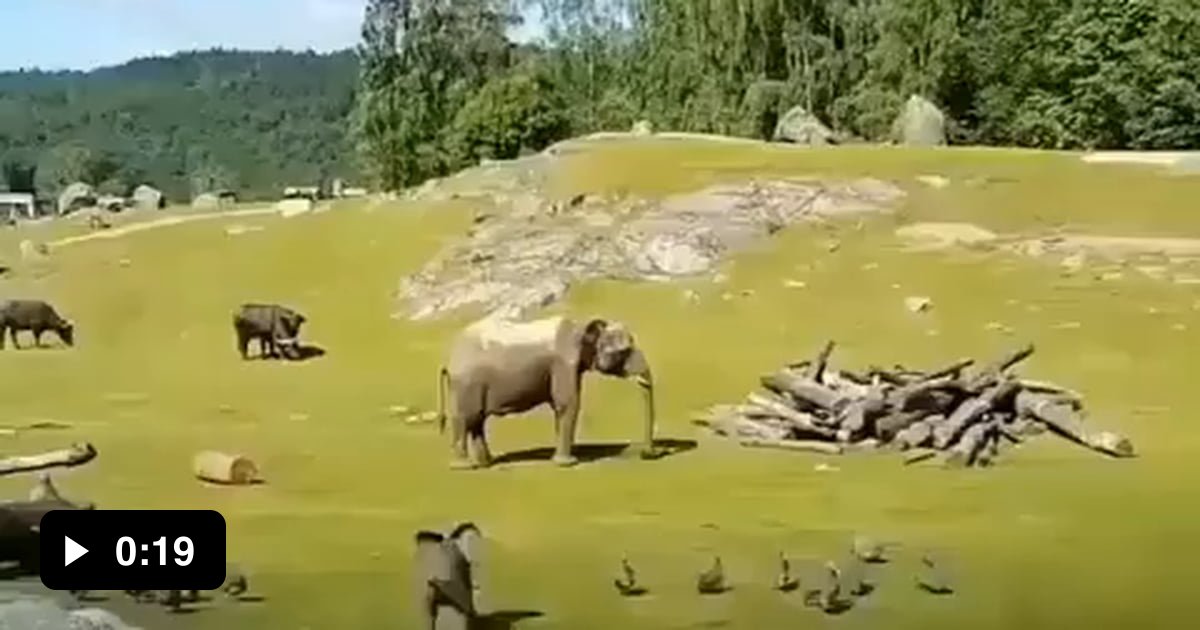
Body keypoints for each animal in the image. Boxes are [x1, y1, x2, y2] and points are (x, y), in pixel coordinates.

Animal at [437, 315, 657, 469]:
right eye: (624, 351)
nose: (648, 454)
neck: (581, 326)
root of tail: (450, 359)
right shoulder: (563, 364)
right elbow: (569, 404)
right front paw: (568, 463)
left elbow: (562, 408)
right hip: (466, 383)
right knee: (465, 418)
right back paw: (464, 467)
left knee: (477, 421)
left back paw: (486, 463)